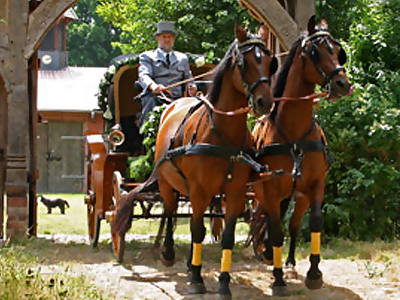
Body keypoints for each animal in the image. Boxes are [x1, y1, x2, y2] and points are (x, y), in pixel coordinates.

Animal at [112, 22, 278, 298]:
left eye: (269, 61)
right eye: (243, 62)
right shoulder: (199, 189)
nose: (265, 101)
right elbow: (197, 230)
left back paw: (190, 264)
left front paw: (222, 283)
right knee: (170, 212)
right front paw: (198, 280)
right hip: (167, 183)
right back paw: (169, 254)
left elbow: (225, 236)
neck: (222, 134)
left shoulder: (235, 192)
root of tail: (174, 101)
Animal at [253, 16, 350, 296]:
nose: (343, 84)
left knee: (294, 224)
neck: (294, 135)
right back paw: (269, 256)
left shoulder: (316, 186)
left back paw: (289, 263)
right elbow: (274, 231)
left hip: (300, 195)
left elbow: (315, 222)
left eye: (337, 50)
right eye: (315, 51)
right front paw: (277, 280)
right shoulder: (270, 190)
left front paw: (314, 273)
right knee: (268, 221)